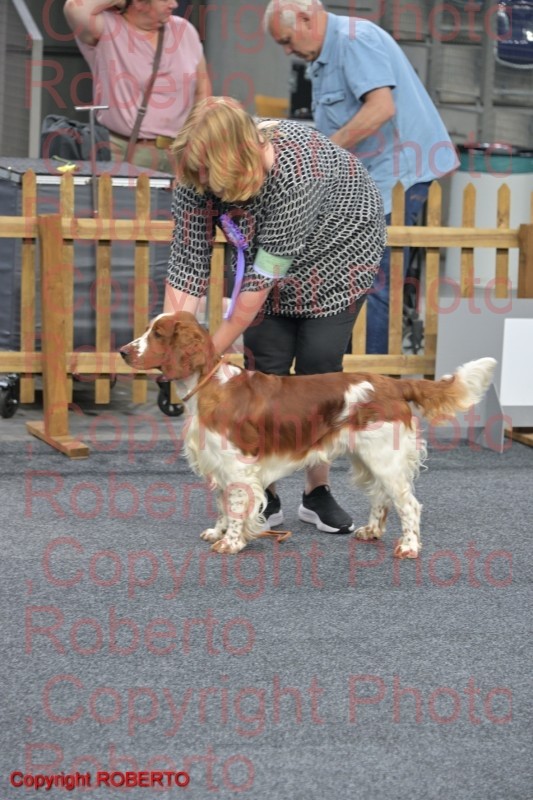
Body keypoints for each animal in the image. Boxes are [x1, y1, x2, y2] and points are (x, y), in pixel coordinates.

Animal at [120, 311, 496, 558]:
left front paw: (231, 542)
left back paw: (409, 546)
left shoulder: (237, 466)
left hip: (384, 457)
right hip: (367, 456)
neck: (210, 385)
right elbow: (223, 503)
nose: (123, 351)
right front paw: (219, 530)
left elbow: (238, 505)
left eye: (158, 334)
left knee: (409, 505)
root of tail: (393, 383)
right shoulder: (218, 464)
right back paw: (371, 532)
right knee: (381, 498)